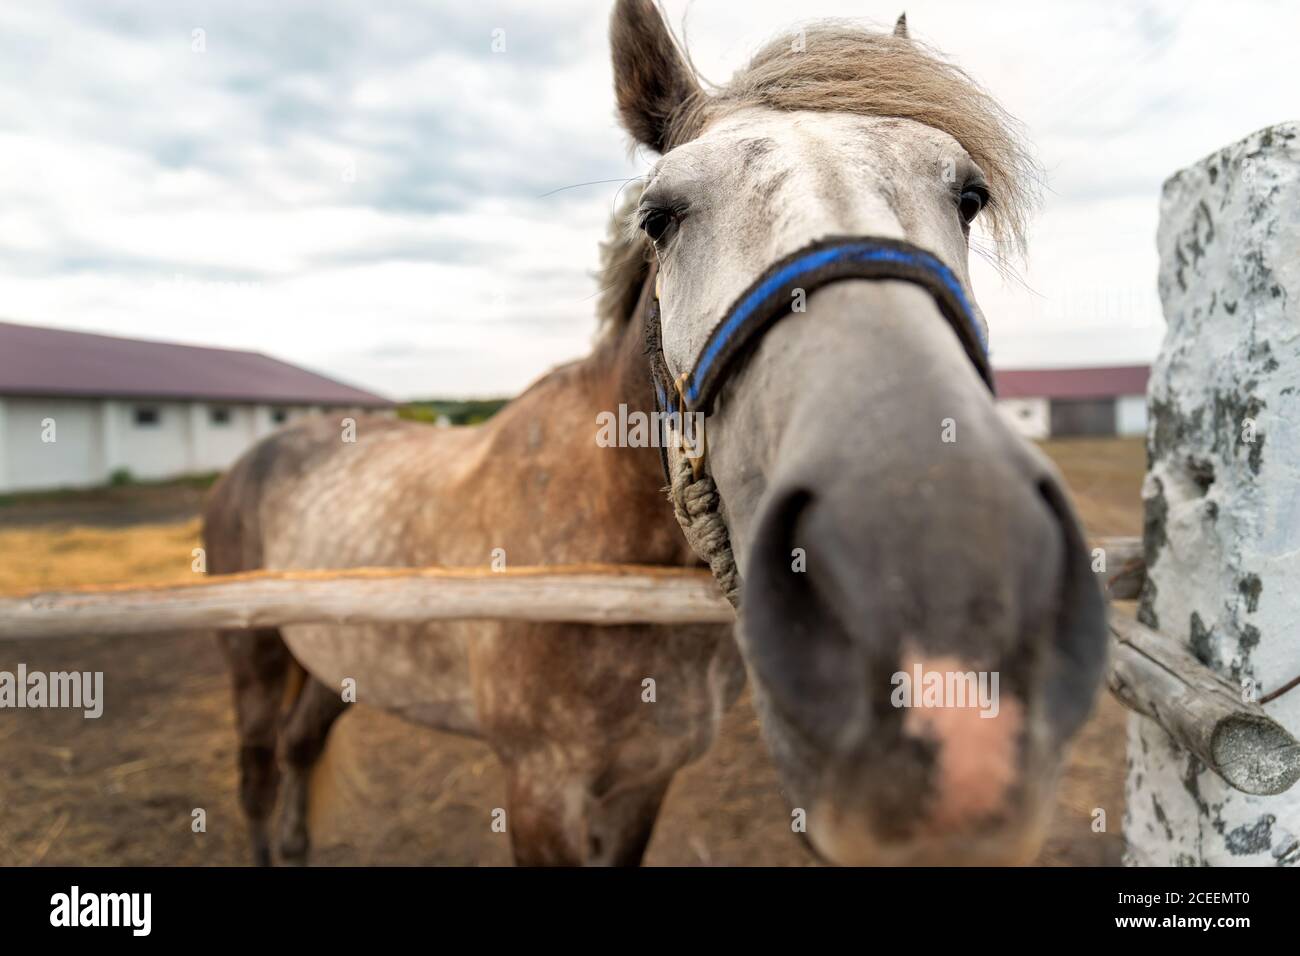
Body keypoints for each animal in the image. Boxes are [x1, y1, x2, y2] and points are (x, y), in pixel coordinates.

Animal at [204, 0, 1107, 867]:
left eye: (968, 196)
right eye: (660, 215)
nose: (944, 600)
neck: (604, 557)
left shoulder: (646, 779)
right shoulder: (539, 791)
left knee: (299, 751)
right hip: (254, 662)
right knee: (257, 774)